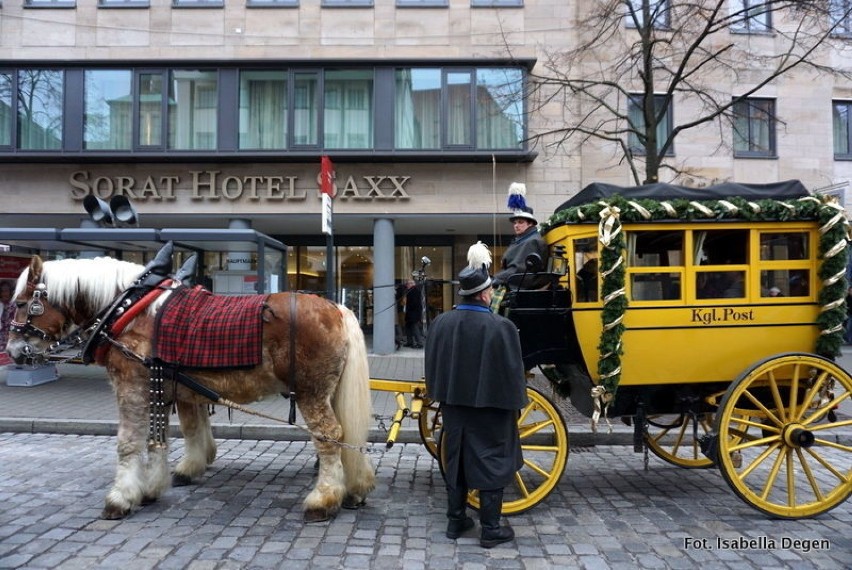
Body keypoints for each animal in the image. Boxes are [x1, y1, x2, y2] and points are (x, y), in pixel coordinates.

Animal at [5, 251, 374, 520]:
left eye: (22, 304)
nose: (13, 350)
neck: (130, 307)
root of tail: (336, 308)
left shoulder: (131, 387)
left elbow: (129, 443)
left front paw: (121, 497)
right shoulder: (161, 388)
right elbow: (164, 438)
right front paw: (154, 486)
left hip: (312, 393)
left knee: (329, 437)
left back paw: (323, 499)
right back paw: (352, 489)